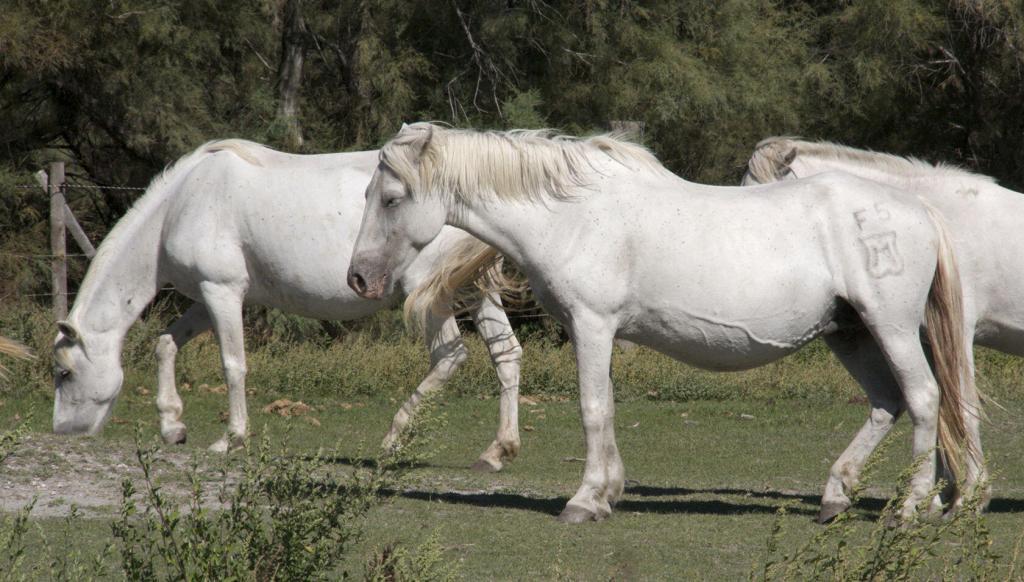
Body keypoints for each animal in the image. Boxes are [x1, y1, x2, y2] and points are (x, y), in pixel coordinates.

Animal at [51, 138, 524, 471]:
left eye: (64, 372)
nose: (62, 432)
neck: (181, 204)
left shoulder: (222, 292)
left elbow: (233, 365)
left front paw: (231, 439)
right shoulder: (209, 297)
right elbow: (166, 344)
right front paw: (172, 426)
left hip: (428, 294)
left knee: (450, 356)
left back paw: (394, 436)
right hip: (475, 291)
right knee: (506, 355)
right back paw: (496, 451)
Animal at [348, 122, 978, 522]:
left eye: (392, 198)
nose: (357, 278)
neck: (574, 217)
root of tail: (921, 211)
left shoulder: (591, 325)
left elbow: (591, 409)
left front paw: (583, 502)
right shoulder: (598, 332)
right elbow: (605, 408)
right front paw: (607, 494)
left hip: (891, 328)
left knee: (923, 399)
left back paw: (908, 509)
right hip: (849, 334)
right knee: (886, 403)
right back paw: (834, 497)